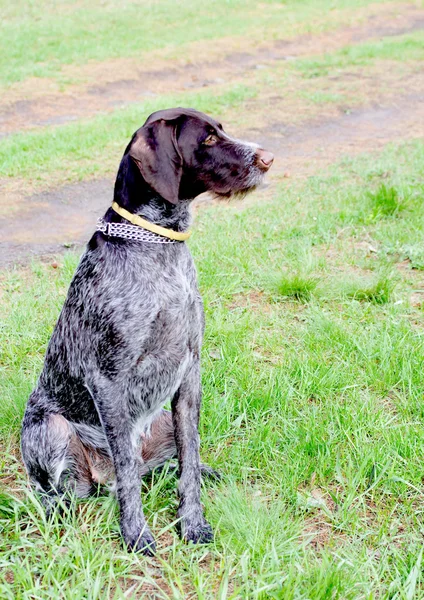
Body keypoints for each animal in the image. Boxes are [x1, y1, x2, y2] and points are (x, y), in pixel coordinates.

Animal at [19, 106, 274, 552]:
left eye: (221, 130)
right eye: (207, 139)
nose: (268, 158)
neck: (156, 244)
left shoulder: (190, 372)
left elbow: (188, 462)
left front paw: (192, 520)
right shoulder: (108, 379)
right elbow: (126, 472)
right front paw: (135, 532)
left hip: (165, 424)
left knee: (160, 466)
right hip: (51, 430)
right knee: (64, 489)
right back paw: (58, 509)